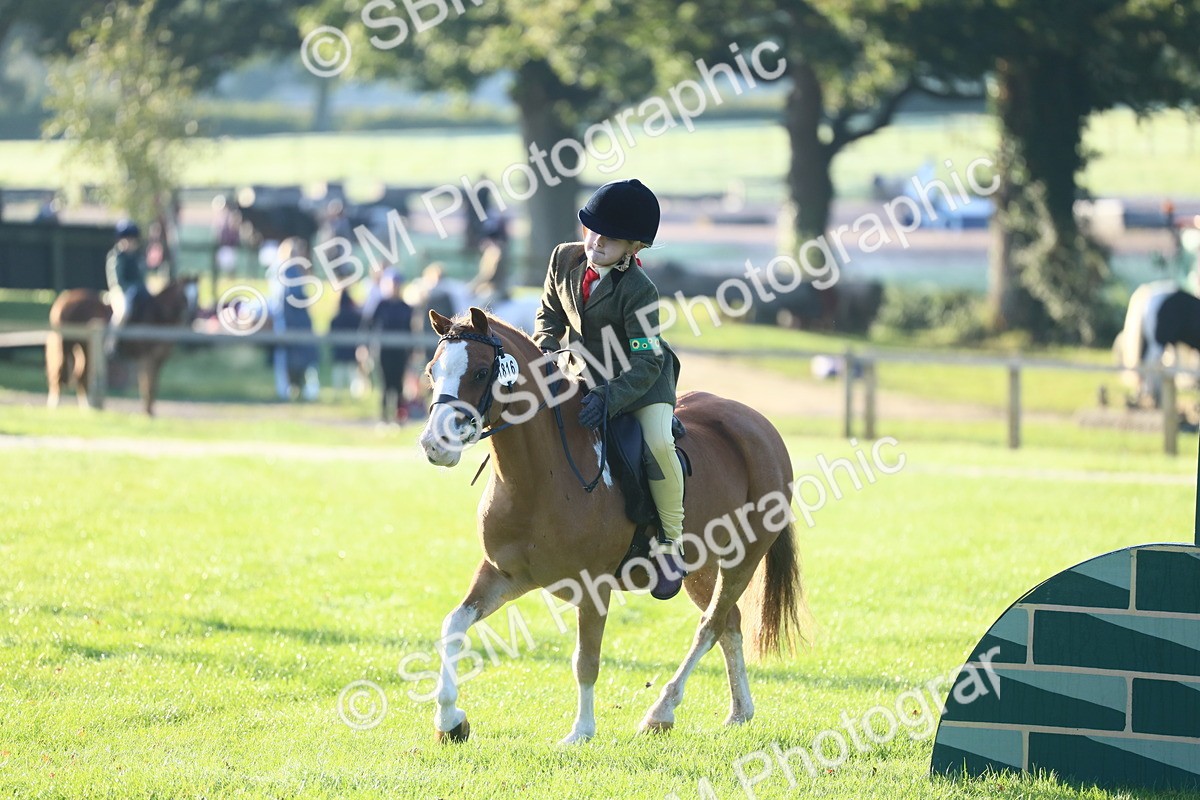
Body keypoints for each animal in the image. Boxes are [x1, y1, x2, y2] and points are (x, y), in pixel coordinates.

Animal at [46, 276, 199, 415]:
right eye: (183, 296)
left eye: (196, 296)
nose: (192, 317)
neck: (157, 316)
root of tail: (64, 299)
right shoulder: (146, 359)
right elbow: (147, 385)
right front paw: (147, 414)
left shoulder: (158, 360)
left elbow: (153, 385)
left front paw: (150, 413)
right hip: (66, 344)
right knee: (60, 373)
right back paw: (55, 407)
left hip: (85, 348)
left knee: (81, 376)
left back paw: (88, 409)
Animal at [417, 307, 805, 744]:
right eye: (432, 371)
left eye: (481, 372)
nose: (434, 444)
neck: (536, 478)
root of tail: (759, 425)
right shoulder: (503, 575)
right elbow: (453, 626)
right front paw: (450, 720)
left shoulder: (593, 588)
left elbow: (585, 659)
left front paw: (581, 732)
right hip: (700, 568)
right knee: (730, 624)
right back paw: (739, 711)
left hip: (744, 557)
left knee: (712, 625)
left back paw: (661, 711)